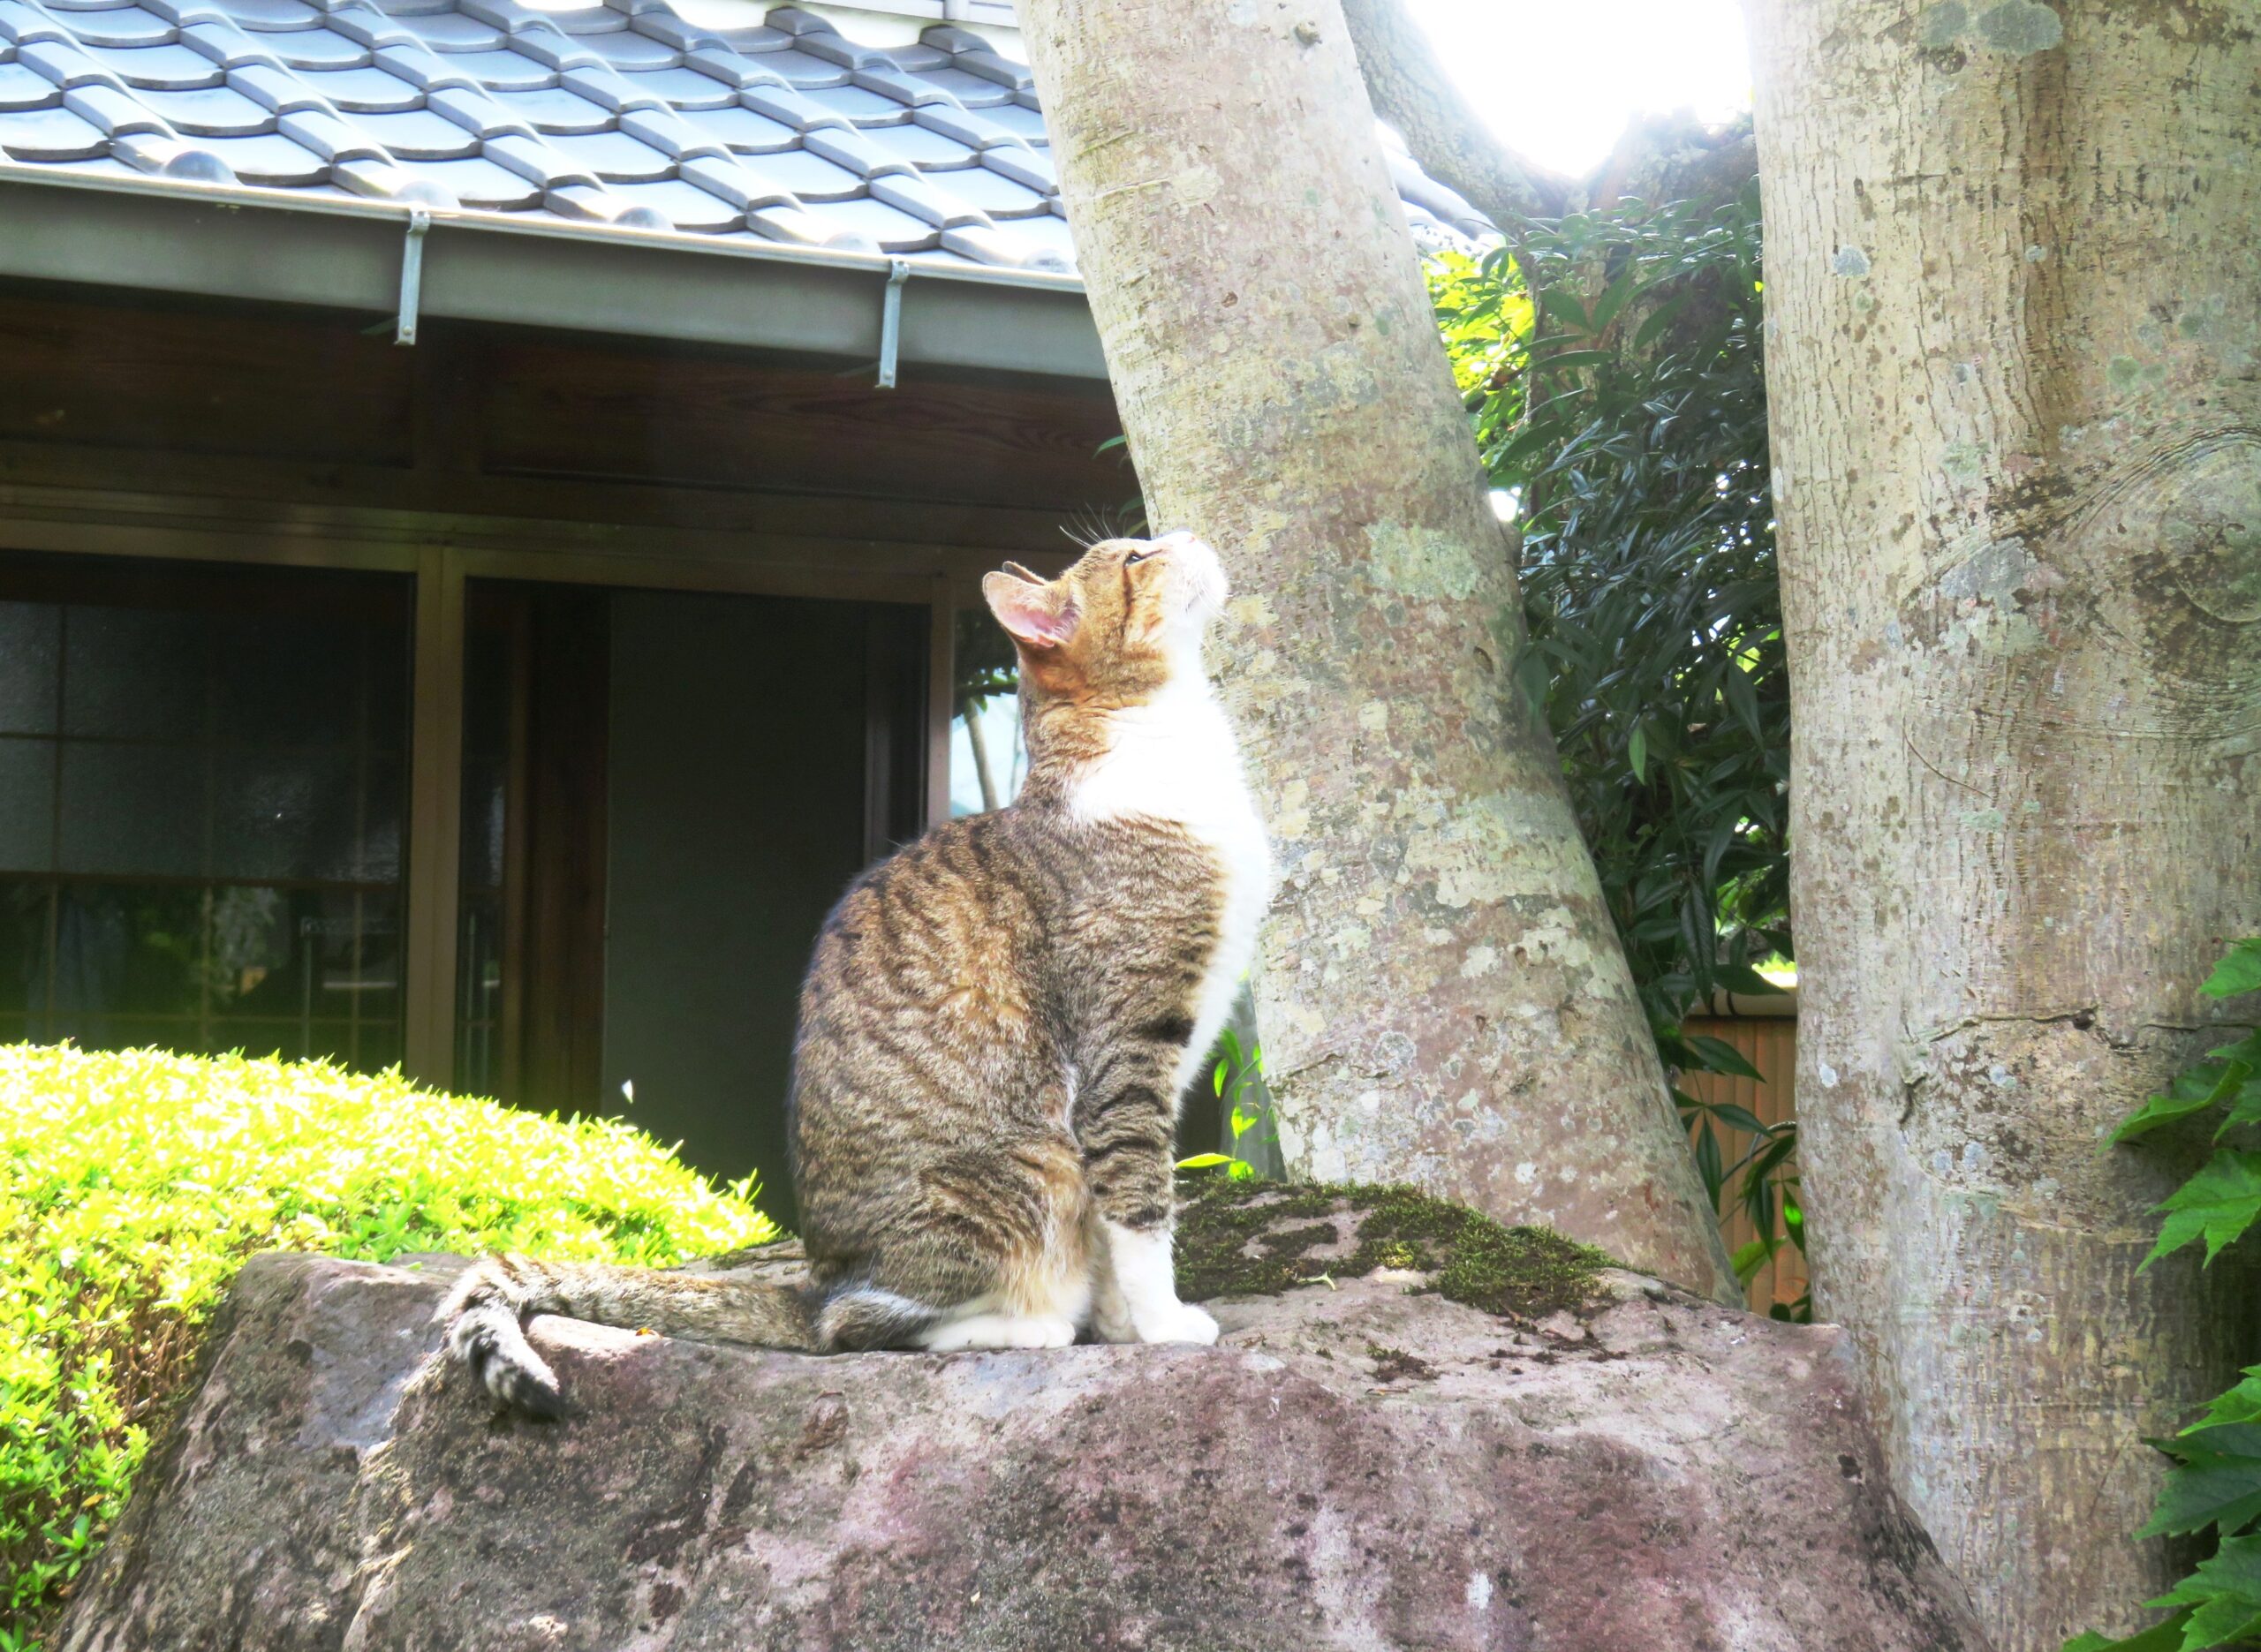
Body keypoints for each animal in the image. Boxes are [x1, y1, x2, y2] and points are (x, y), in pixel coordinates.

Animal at [436, 535, 1274, 1419]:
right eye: (1136, 556)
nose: (1185, 536)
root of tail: (814, 1282)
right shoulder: (1127, 1045)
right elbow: (1140, 1197)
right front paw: (1165, 1323)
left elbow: (1116, 1223)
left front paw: (1122, 1325)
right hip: (1024, 1174)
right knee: (855, 1326)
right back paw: (1021, 1324)